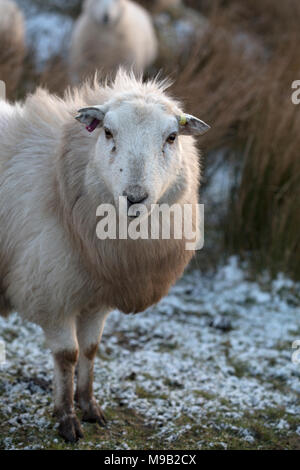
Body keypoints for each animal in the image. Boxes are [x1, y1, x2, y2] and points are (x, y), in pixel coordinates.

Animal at [0, 70, 210, 440]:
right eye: (108, 132)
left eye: (172, 137)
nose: (135, 197)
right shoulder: (50, 293)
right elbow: (67, 355)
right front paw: (66, 417)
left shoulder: (97, 296)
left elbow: (90, 350)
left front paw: (89, 407)